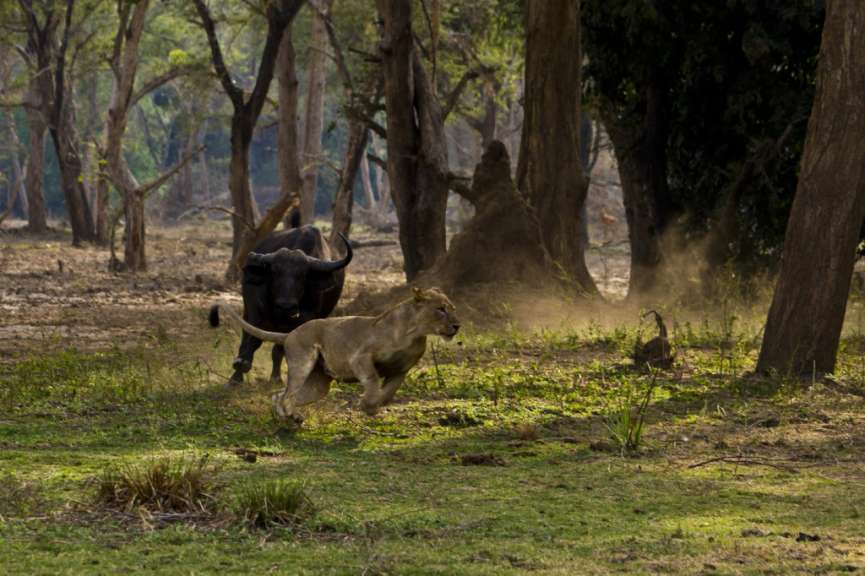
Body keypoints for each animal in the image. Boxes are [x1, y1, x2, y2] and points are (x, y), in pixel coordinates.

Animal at [211, 287, 460, 427]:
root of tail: (290, 333)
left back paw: (288, 418)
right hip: (303, 362)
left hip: (319, 385)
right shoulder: (359, 357)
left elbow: (388, 392)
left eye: (452, 307)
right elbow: (372, 380)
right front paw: (367, 404)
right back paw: (291, 417)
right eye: (441, 309)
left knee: (279, 395)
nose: (457, 325)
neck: (414, 334)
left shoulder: (400, 371)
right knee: (287, 394)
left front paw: (374, 406)